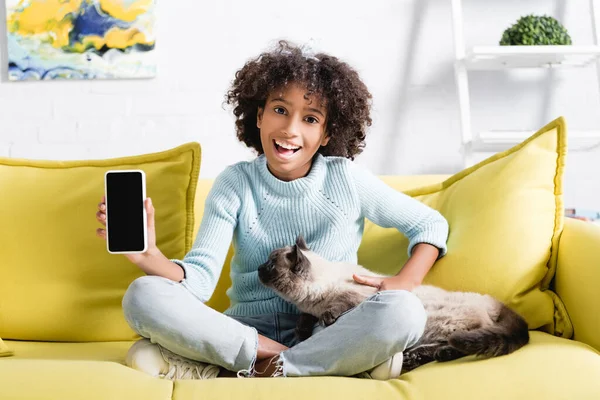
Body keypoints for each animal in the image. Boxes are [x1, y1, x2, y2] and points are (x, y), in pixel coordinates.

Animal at [258, 234, 528, 372]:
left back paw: (422, 357)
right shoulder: (308, 310)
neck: (313, 300)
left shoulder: (359, 296)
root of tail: (495, 302)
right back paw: (416, 358)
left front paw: (327, 318)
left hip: (440, 323)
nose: (258, 268)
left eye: (270, 265)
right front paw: (302, 331)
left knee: (456, 342)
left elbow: (339, 305)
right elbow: (304, 319)